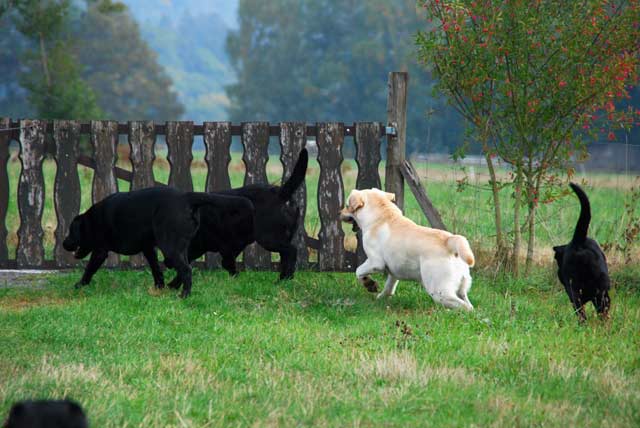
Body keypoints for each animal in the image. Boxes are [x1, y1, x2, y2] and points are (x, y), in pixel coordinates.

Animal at [63, 187, 253, 298]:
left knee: (187, 270)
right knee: (185, 268)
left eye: (71, 231)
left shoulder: (100, 250)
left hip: (170, 247)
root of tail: (186, 197)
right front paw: (159, 287)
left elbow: (89, 269)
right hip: (181, 248)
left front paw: (80, 285)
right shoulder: (148, 248)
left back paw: (184, 295)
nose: (64, 244)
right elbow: (156, 270)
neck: (93, 220)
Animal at [168, 148, 308, 285]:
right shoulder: (234, 245)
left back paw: (283, 280)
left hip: (268, 238)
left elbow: (224, 263)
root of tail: (281, 193)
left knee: (291, 251)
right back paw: (284, 279)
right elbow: (226, 263)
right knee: (285, 257)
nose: (167, 263)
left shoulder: (225, 246)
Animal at [340, 188, 475, 311]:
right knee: (468, 304)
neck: (383, 216)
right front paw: (381, 297)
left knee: (464, 307)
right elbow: (389, 287)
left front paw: (369, 284)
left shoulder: (375, 263)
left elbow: (358, 271)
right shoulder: (393, 271)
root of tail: (449, 241)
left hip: (439, 292)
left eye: (347, 206)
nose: (339, 213)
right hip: (461, 289)